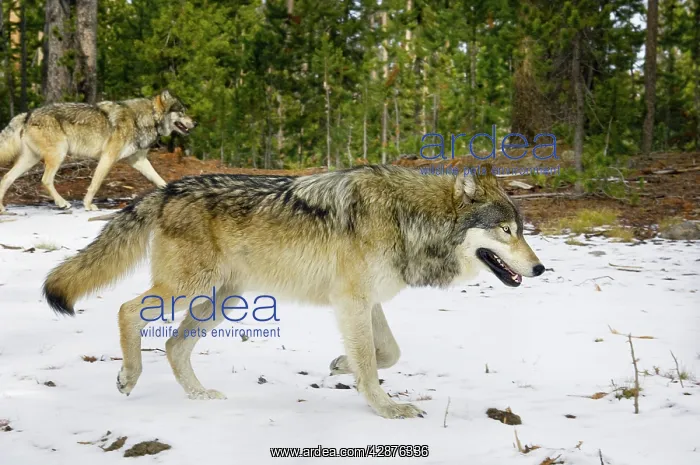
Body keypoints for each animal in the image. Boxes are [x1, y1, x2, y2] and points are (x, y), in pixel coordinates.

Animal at [0, 90, 196, 212]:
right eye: (182, 112)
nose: (195, 123)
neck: (146, 118)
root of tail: (27, 114)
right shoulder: (108, 157)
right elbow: (95, 184)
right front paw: (88, 205)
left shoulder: (138, 161)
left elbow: (160, 180)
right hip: (58, 155)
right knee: (45, 180)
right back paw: (63, 203)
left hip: (30, 160)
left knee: (6, 177)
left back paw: (2, 209)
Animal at [43, 165, 545, 419]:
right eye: (506, 231)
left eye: (521, 230)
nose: (541, 268)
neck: (409, 218)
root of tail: (169, 189)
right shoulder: (352, 301)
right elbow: (372, 362)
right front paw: (386, 409)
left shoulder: (364, 300)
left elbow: (386, 353)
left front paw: (341, 365)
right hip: (186, 290)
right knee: (128, 309)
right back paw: (128, 377)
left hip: (221, 301)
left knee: (173, 345)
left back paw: (200, 397)